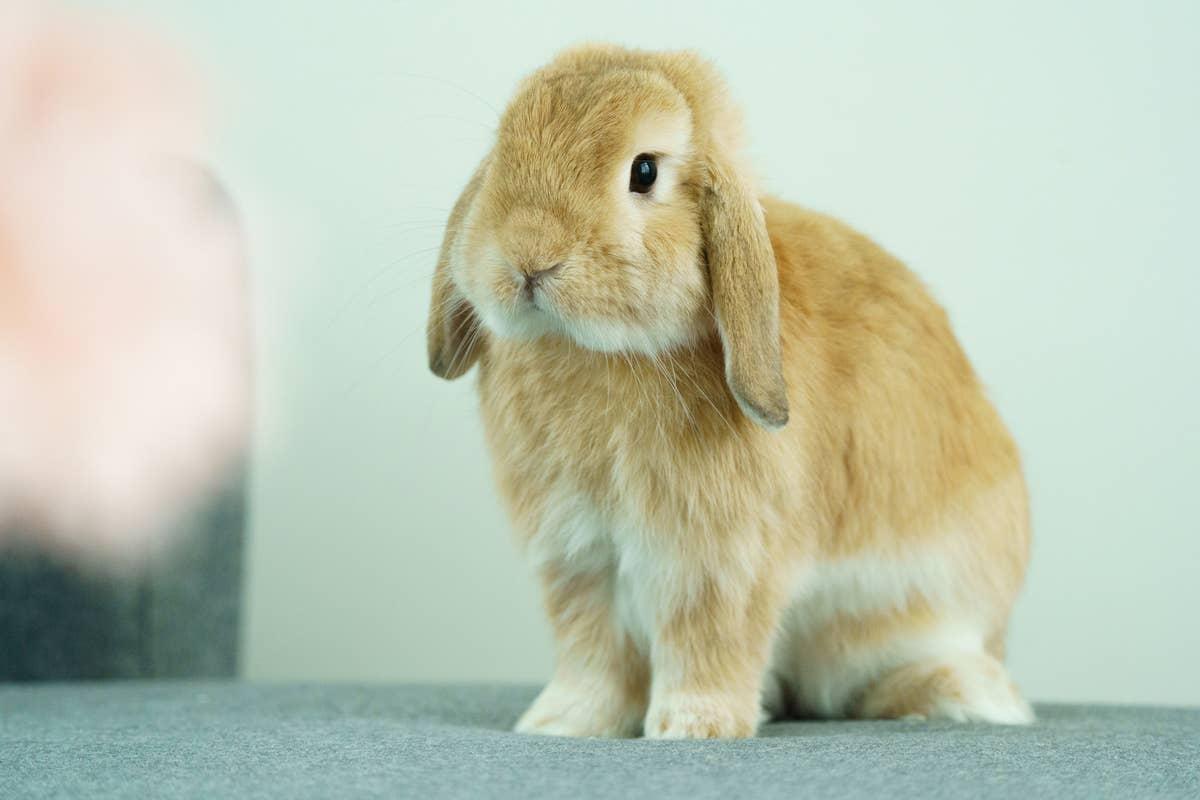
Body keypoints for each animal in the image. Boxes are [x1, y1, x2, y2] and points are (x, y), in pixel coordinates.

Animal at [426, 44, 1033, 739]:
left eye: (643, 171)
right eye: (502, 149)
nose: (529, 258)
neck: (604, 351)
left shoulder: (717, 560)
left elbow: (707, 639)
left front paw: (693, 726)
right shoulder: (579, 557)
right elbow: (593, 650)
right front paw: (563, 722)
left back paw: (957, 693)